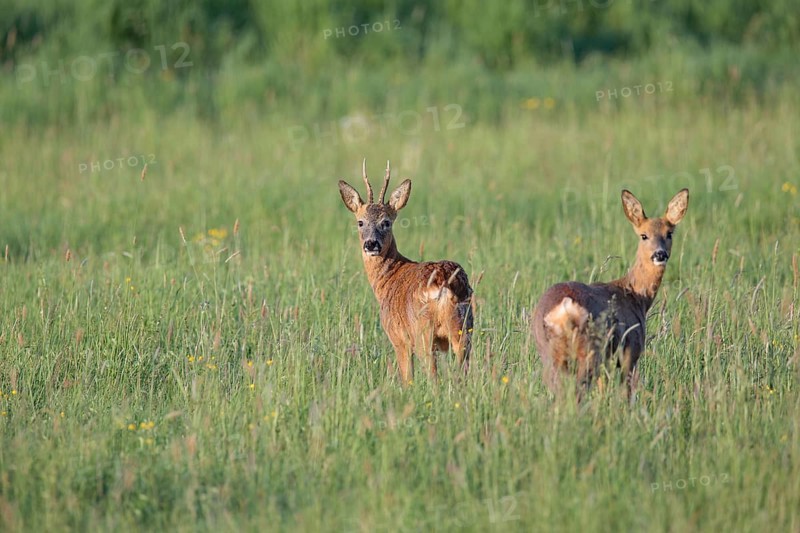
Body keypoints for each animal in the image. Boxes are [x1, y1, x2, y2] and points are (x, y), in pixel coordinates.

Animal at [338, 159, 473, 384]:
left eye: (386, 222)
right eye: (360, 222)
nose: (371, 244)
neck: (387, 280)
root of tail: (445, 283)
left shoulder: (398, 338)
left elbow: (407, 379)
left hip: (422, 332)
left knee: (433, 375)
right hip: (464, 327)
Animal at [531, 188, 689, 399]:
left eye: (669, 233)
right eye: (644, 235)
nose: (660, 254)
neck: (635, 296)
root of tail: (564, 308)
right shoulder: (631, 349)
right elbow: (627, 393)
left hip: (549, 352)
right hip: (590, 350)